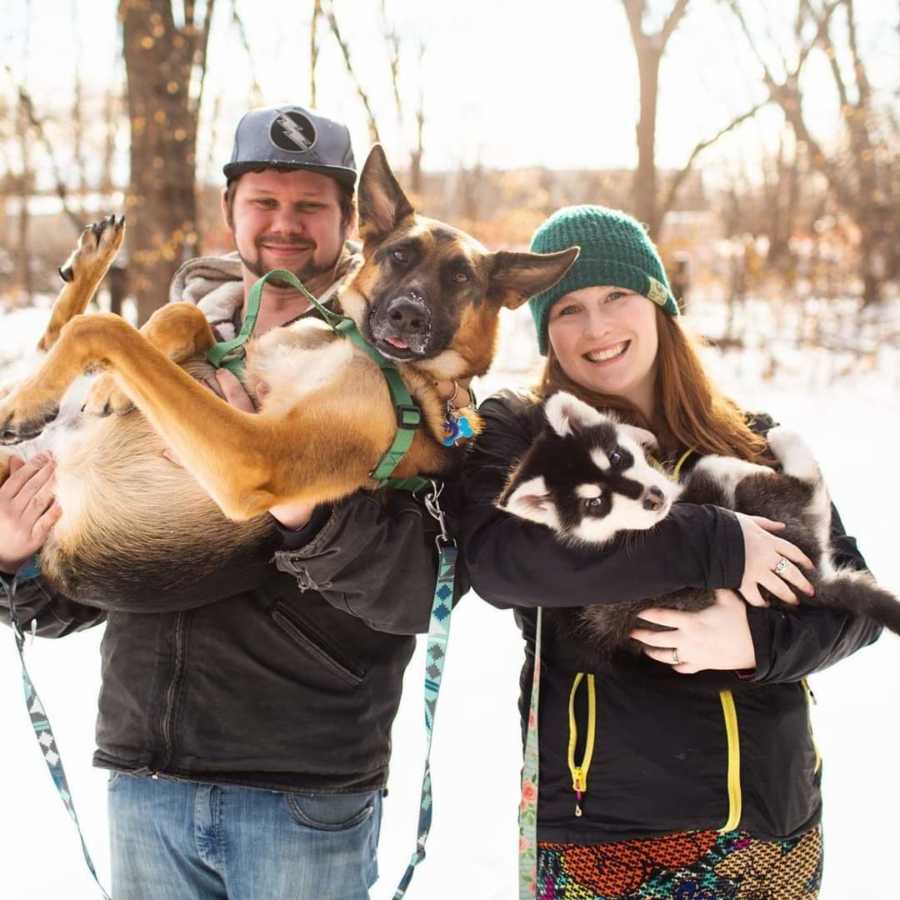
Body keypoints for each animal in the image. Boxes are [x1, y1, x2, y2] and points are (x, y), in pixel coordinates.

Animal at [0, 148, 576, 608]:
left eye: (460, 277)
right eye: (399, 255)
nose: (408, 317)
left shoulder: (255, 456)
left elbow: (108, 326)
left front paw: (97, 385)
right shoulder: (235, 355)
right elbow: (177, 316)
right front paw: (110, 385)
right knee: (50, 341)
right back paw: (87, 270)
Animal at [500, 392, 900, 660]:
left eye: (616, 456)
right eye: (594, 503)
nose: (654, 499)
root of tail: (815, 580)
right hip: (760, 504)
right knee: (809, 489)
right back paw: (785, 442)